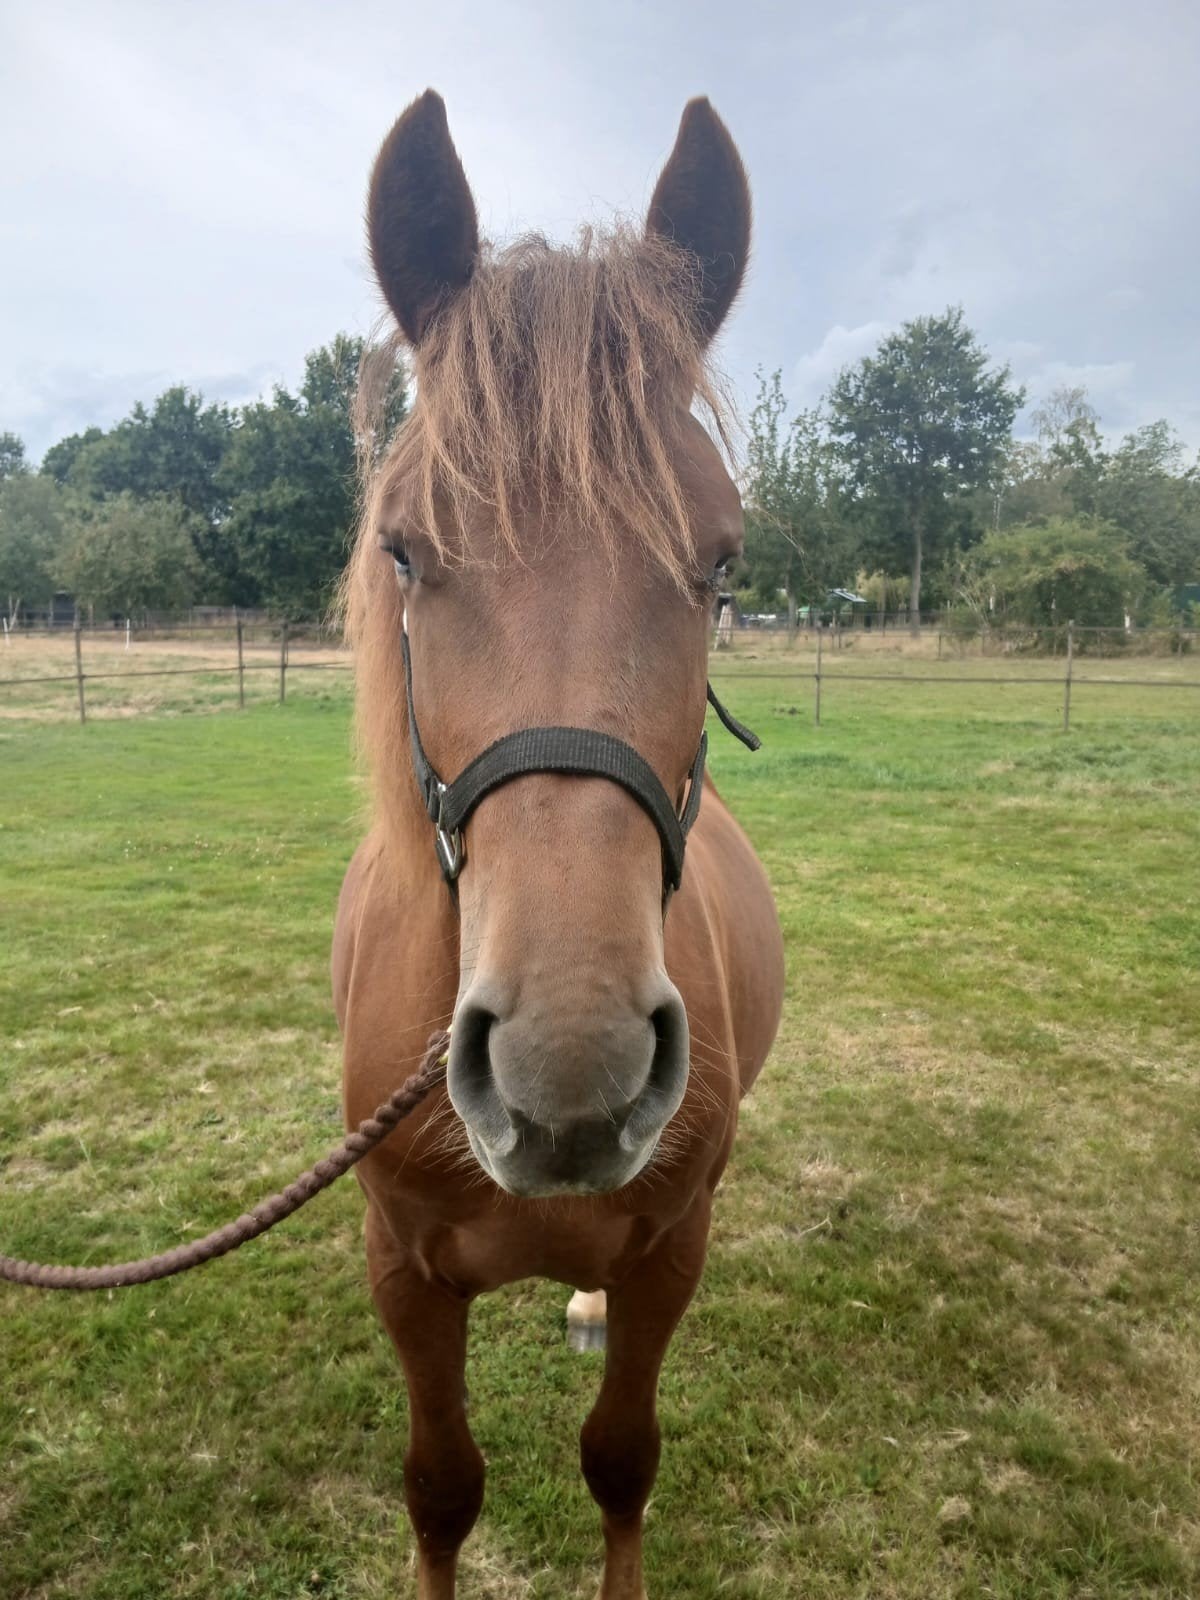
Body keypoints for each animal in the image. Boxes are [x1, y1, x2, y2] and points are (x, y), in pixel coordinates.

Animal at [333, 89, 784, 1600]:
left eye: (723, 564)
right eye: (406, 552)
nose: (569, 1071)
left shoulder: (672, 1251)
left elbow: (621, 1459)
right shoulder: (402, 1272)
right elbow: (439, 1487)